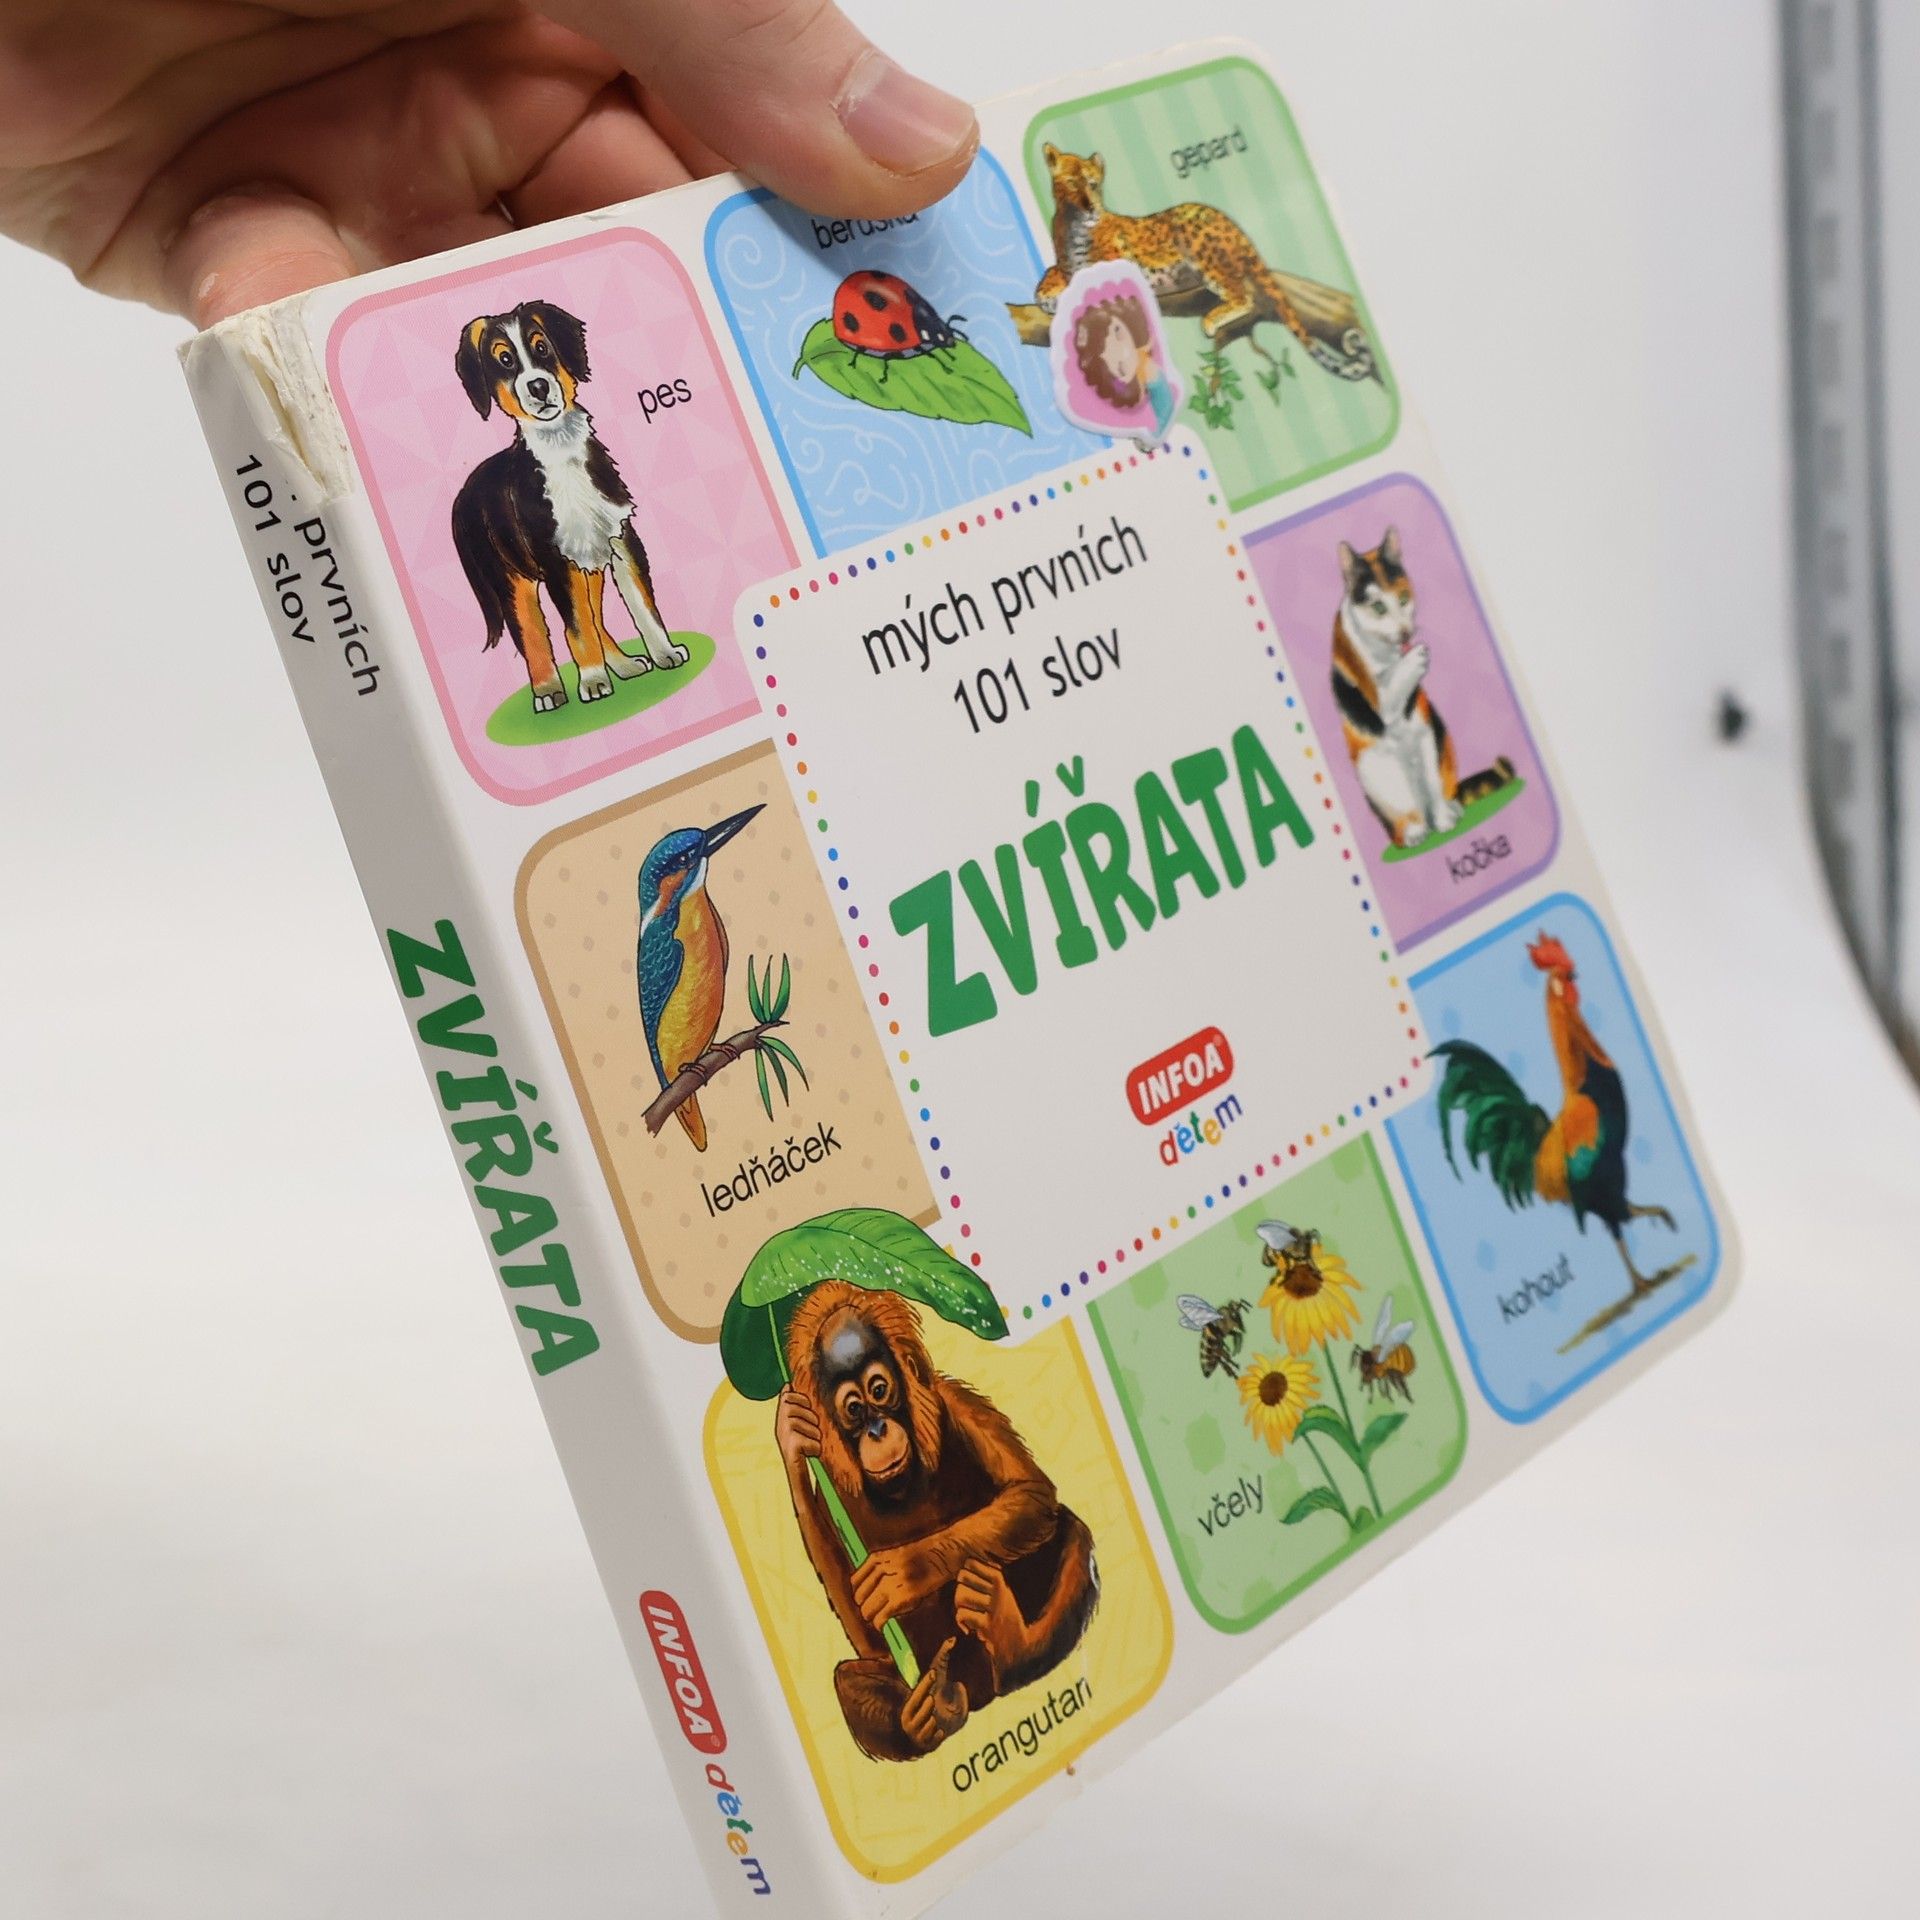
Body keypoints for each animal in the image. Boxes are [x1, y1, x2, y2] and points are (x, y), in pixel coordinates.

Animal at [451, 301, 689, 714]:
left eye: (542, 347)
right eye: (504, 359)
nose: (539, 386)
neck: (560, 450)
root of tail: (463, 494)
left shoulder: (619, 538)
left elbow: (641, 606)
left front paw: (664, 653)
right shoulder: (555, 560)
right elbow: (574, 628)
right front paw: (592, 681)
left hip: (586, 562)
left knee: (594, 618)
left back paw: (624, 666)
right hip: (512, 579)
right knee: (532, 632)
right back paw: (548, 690)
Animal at [1330, 529, 1514, 849]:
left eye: (1404, 598)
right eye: (1378, 607)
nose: (1406, 633)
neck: (1387, 653)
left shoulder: (1424, 725)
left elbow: (1432, 782)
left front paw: (1445, 821)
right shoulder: (1374, 699)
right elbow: (1385, 694)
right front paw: (1416, 658)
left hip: (1437, 739)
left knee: (1436, 788)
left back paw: (1447, 812)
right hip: (1375, 769)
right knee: (1406, 814)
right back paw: (1415, 832)